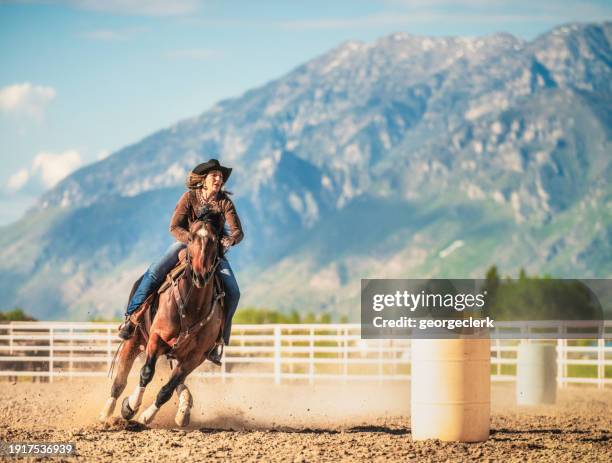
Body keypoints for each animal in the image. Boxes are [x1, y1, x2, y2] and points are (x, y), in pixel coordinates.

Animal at [99, 214, 224, 428]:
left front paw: (147, 415)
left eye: (215, 240)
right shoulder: (156, 338)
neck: (193, 306)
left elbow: (168, 388)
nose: (200, 274)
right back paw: (107, 412)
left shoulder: (195, 357)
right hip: (134, 339)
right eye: (190, 237)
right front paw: (130, 406)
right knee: (120, 379)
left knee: (178, 384)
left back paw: (183, 411)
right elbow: (146, 372)